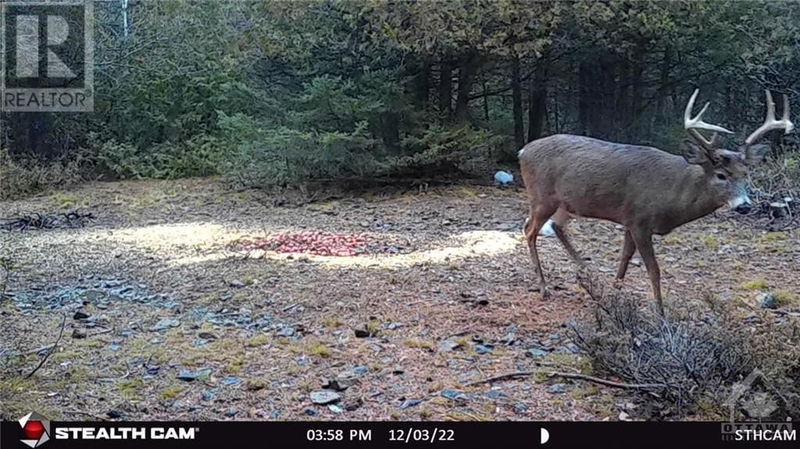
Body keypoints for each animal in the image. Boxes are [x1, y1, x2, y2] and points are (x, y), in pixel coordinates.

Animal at [520, 89, 792, 316]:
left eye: (746, 173)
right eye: (721, 175)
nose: (744, 205)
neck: (672, 196)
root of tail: (523, 152)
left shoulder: (629, 219)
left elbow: (625, 257)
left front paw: (614, 292)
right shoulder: (640, 220)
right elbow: (653, 269)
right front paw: (660, 313)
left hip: (566, 203)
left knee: (555, 226)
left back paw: (585, 271)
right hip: (542, 195)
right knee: (529, 230)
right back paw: (544, 287)